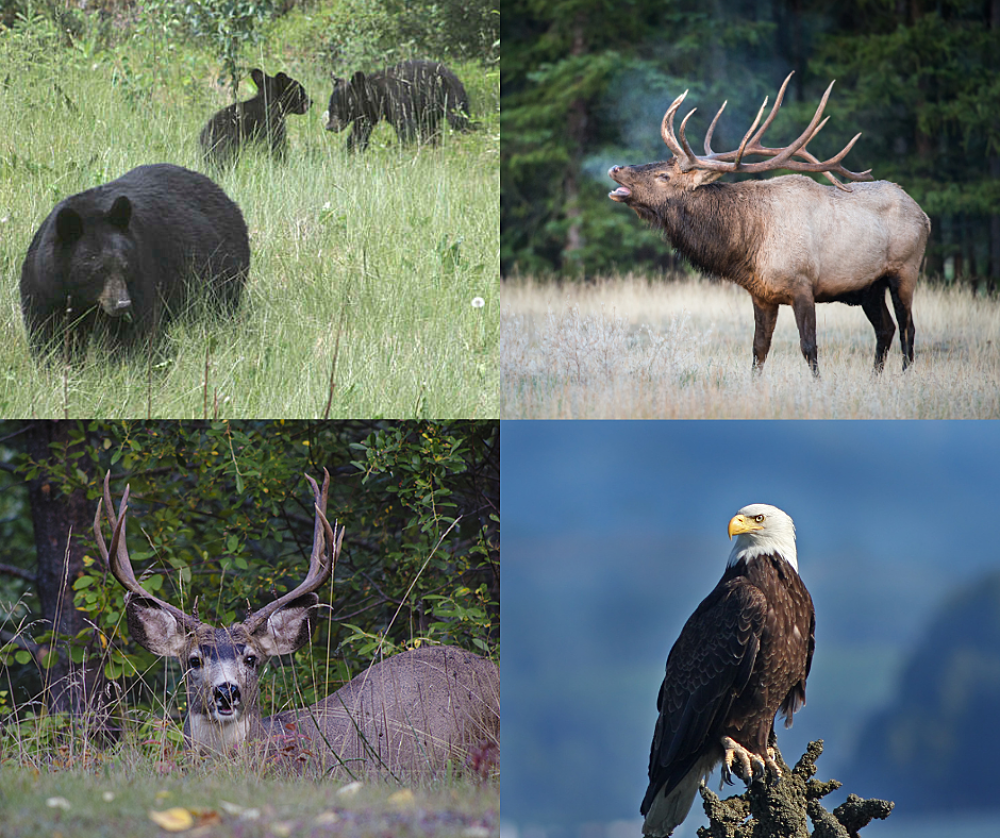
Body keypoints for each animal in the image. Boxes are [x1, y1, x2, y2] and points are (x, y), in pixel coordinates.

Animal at [20, 164, 250, 358]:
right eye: (96, 270)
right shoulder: (46, 285)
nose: (122, 304)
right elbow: (50, 332)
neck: (83, 298)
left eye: (125, 266)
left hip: (220, 275)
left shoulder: (141, 273)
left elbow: (134, 331)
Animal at [324, 60, 472, 151]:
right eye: (330, 107)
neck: (377, 95)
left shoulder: (398, 99)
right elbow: (359, 134)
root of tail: (456, 77)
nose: (329, 126)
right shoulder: (367, 115)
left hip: (452, 97)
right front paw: (349, 151)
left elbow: (406, 128)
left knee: (459, 121)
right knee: (430, 130)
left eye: (339, 108)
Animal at [604, 75, 932, 378]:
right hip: (869, 287)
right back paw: (875, 379)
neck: (748, 243)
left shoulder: (803, 284)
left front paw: (818, 386)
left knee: (908, 328)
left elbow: (809, 347)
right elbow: (758, 349)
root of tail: (924, 216)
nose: (615, 168)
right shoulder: (761, 295)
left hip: (905, 270)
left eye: (663, 176)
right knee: (886, 328)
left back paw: (905, 377)